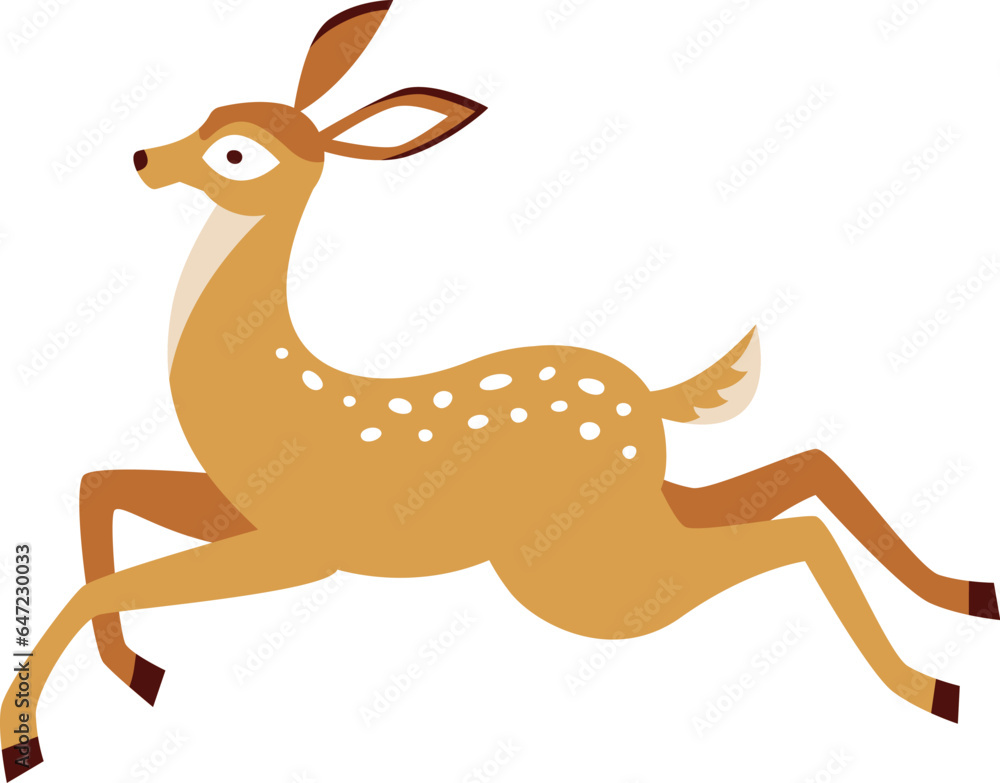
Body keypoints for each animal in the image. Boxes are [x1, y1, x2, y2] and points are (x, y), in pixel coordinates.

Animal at [4, 2, 996, 778]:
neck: (271, 383)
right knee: (807, 470)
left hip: (577, 574)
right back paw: (967, 597)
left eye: (238, 153)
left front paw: (28, 741)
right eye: (210, 114)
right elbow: (101, 491)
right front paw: (133, 670)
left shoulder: (303, 546)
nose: (141, 155)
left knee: (788, 533)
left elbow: (102, 571)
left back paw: (931, 687)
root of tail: (649, 399)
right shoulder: (238, 511)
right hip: (631, 516)